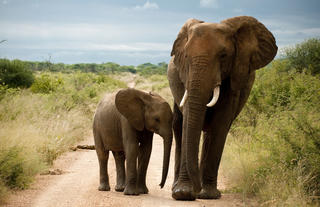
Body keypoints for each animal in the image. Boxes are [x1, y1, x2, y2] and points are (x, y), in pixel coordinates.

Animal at [168, 15, 278, 200]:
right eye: (186, 56)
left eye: (223, 55)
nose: (196, 191)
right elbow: (187, 121)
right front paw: (183, 193)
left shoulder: (234, 79)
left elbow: (220, 124)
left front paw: (208, 195)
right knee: (179, 126)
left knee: (212, 132)